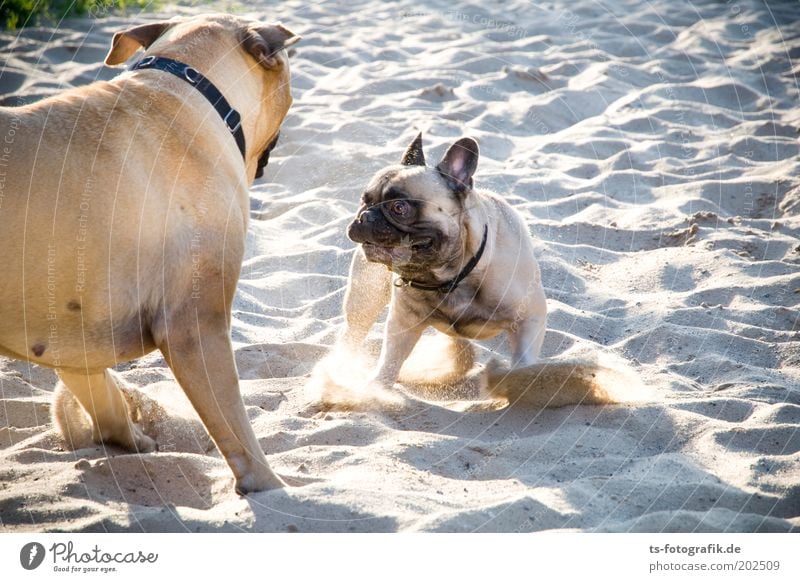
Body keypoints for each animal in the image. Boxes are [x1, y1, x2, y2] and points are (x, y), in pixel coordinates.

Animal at [0, 13, 296, 496]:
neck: (186, 93)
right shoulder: (195, 326)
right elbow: (237, 429)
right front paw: (273, 486)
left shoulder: (67, 332)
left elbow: (105, 399)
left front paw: (128, 438)